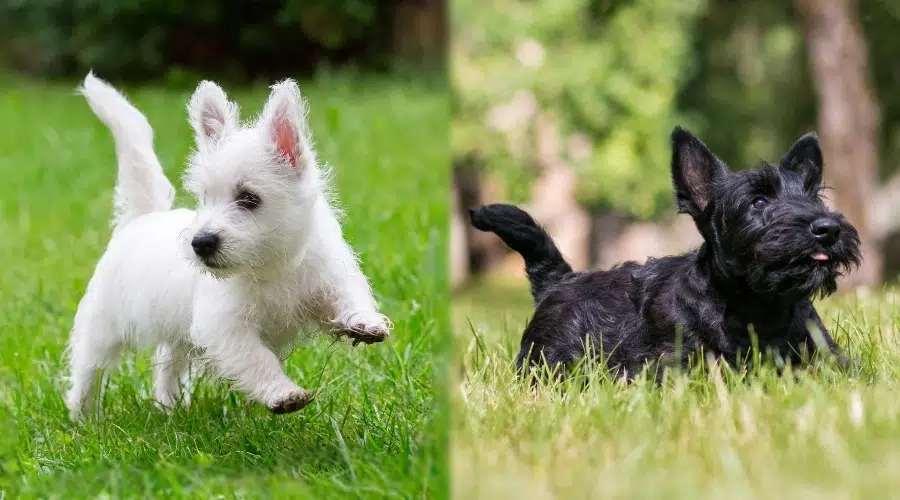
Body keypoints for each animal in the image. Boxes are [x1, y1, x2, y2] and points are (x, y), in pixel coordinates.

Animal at [63, 73, 386, 418]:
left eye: (249, 199)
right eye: (205, 197)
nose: (200, 243)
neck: (270, 266)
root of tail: (141, 218)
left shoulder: (328, 279)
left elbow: (348, 297)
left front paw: (365, 322)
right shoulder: (225, 327)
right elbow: (257, 359)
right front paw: (282, 393)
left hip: (177, 335)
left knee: (168, 365)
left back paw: (170, 408)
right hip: (101, 329)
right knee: (87, 372)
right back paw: (84, 418)